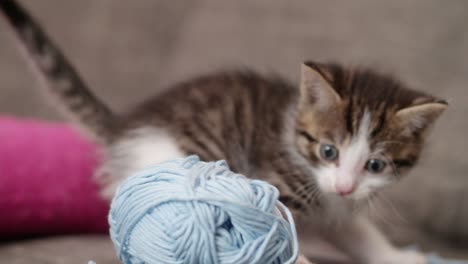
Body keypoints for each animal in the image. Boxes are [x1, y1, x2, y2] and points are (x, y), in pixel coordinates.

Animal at [0, 1, 446, 262]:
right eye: (328, 151)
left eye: (376, 165)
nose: (346, 186)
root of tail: (128, 123)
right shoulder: (276, 182)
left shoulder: (334, 208)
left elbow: (357, 231)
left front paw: (400, 256)